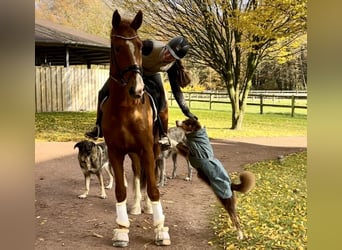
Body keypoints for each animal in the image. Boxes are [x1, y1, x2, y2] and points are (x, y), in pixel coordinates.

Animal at [101, 10, 171, 248]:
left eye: (140, 46)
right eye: (117, 48)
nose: (138, 89)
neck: (126, 108)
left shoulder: (147, 149)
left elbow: (154, 188)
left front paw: (160, 230)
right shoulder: (116, 152)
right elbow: (121, 190)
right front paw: (122, 230)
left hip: (153, 149)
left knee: (149, 176)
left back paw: (148, 207)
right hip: (133, 153)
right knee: (139, 174)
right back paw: (136, 206)